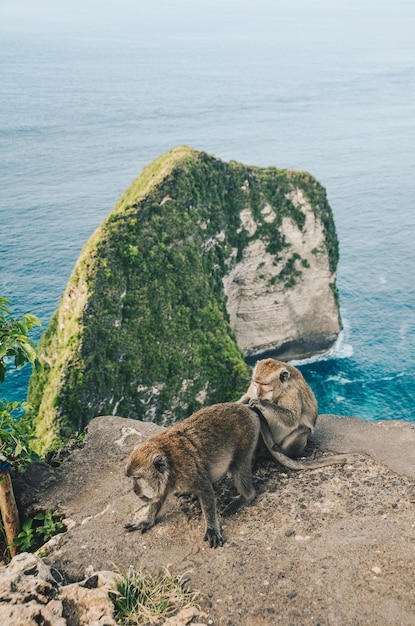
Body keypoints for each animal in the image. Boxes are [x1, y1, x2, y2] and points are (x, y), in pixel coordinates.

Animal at [125, 400, 356, 544]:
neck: (169, 463)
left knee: (239, 465)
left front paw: (212, 528)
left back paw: (245, 497)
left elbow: (206, 492)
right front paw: (147, 520)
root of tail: (246, 407)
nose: (135, 491)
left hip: (247, 434)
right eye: (131, 478)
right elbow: (159, 497)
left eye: (137, 478)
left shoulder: (188, 470)